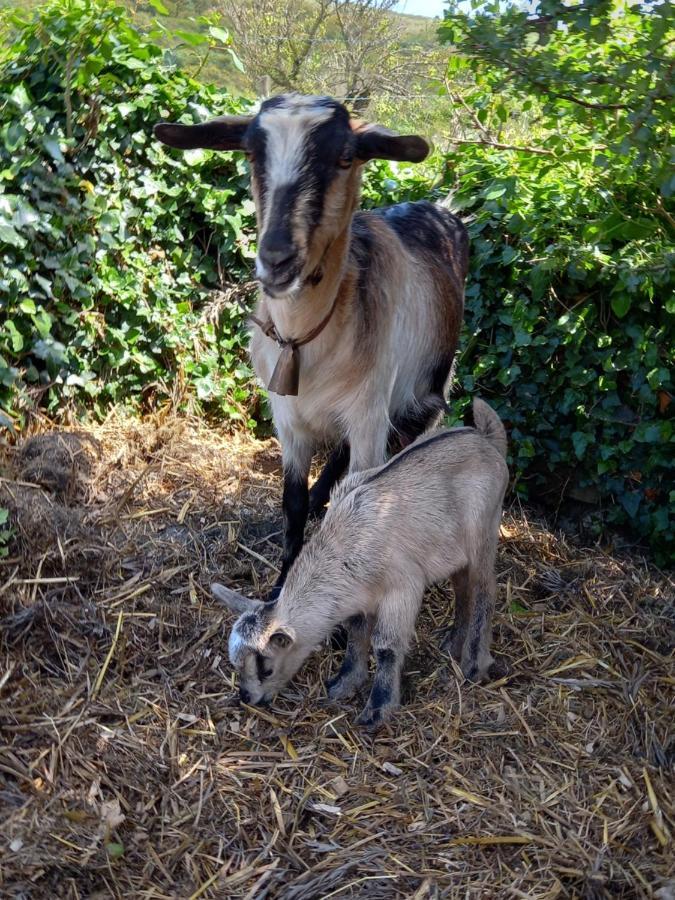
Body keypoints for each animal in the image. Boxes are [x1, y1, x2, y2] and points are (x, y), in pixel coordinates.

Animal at [213, 400, 508, 732]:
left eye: (265, 667)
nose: (247, 697)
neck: (347, 545)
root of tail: (485, 439)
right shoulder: (361, 598)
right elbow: (356, 634)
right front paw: (344, 683)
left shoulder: (403, 588)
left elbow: (386, 646)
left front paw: (378, 708)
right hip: (454, 551)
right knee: (463, 589)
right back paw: (453, 644)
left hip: (484, 530)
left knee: (485, 589)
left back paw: (474, 664)